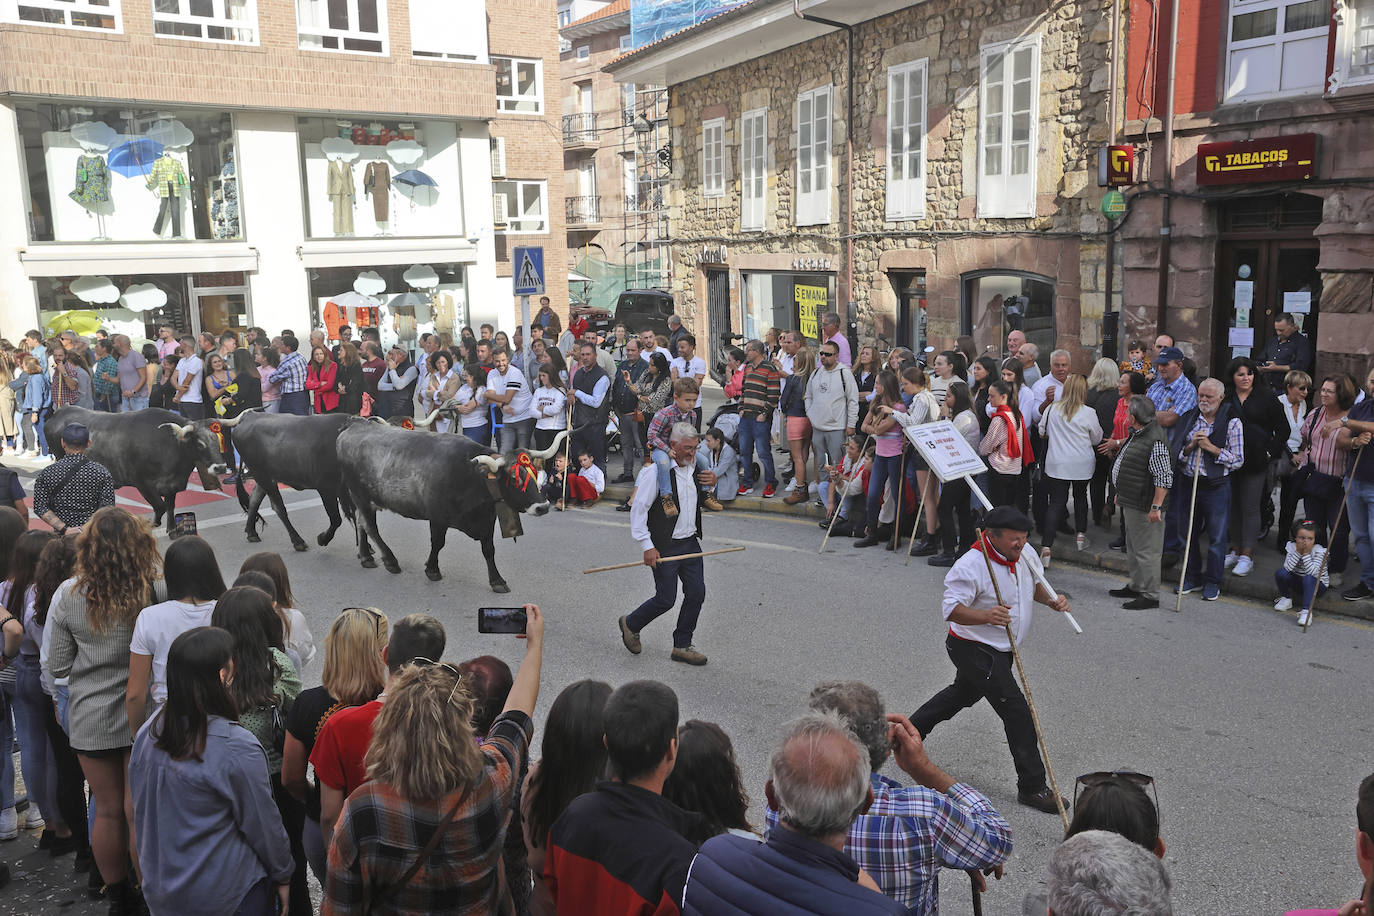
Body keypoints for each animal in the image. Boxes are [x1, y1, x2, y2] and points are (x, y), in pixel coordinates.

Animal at [44, 406, 225, 530]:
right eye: (200, 444)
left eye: (218, 442)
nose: (221, 468)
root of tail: (61, 410)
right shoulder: (143, 483)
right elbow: (160, 506)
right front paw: (153, 524)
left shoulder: (171, 485)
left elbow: (170, 506)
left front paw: (172, 529)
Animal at [218, 409, 354, 552]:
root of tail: (248, 415)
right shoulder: (326, 487)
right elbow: (336, 519)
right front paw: (323, 539)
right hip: (262, 475)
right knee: (278, 508)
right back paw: (298, 541)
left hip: (265, 476)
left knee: (254, 498)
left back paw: (252, 533)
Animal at [335, 420, 566, 590]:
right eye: (514, 478)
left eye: (534, 474)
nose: (543, 506)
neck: (471, 476)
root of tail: (355, 424)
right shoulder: (438, 517)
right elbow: (438, 543)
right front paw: (432, 569)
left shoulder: (487, 520)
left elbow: (488, 550)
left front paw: (497, 580)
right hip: (360, 495)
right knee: (370, 526)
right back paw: (390, 561)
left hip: (361, 500)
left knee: (361, 523)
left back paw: (366, 556)